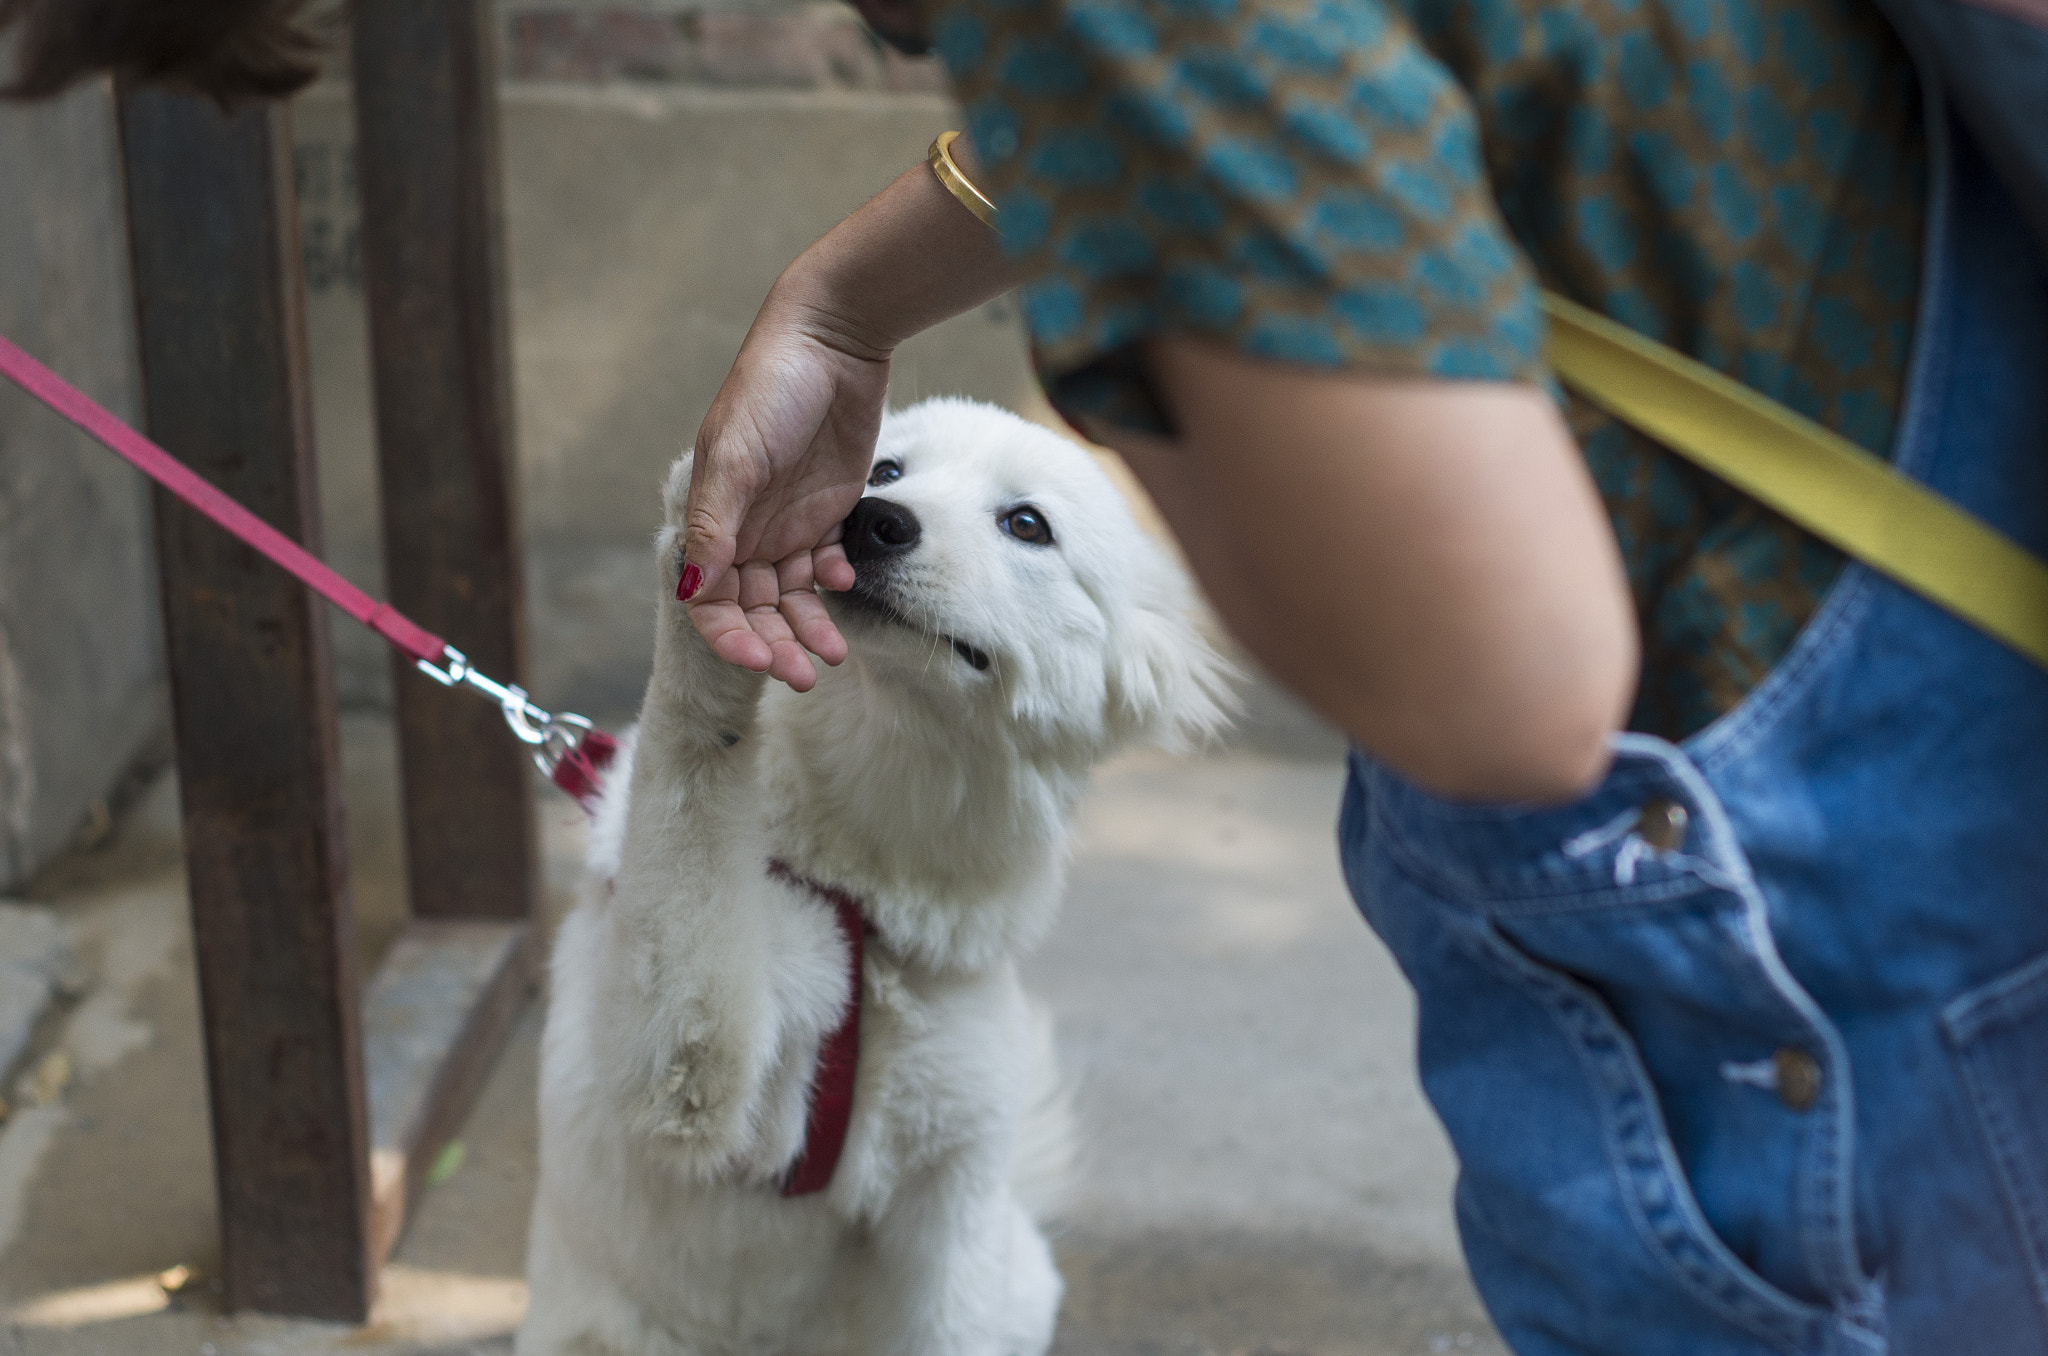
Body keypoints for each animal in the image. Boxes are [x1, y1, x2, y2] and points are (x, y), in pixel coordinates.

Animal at [524, 399, 1228, 1356]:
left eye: (1027, 524)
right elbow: (690, 789)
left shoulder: (946, 1205)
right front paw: (715, 567)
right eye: (887, 469)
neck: (868, 897)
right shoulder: (684, 1059)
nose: (873, 520)